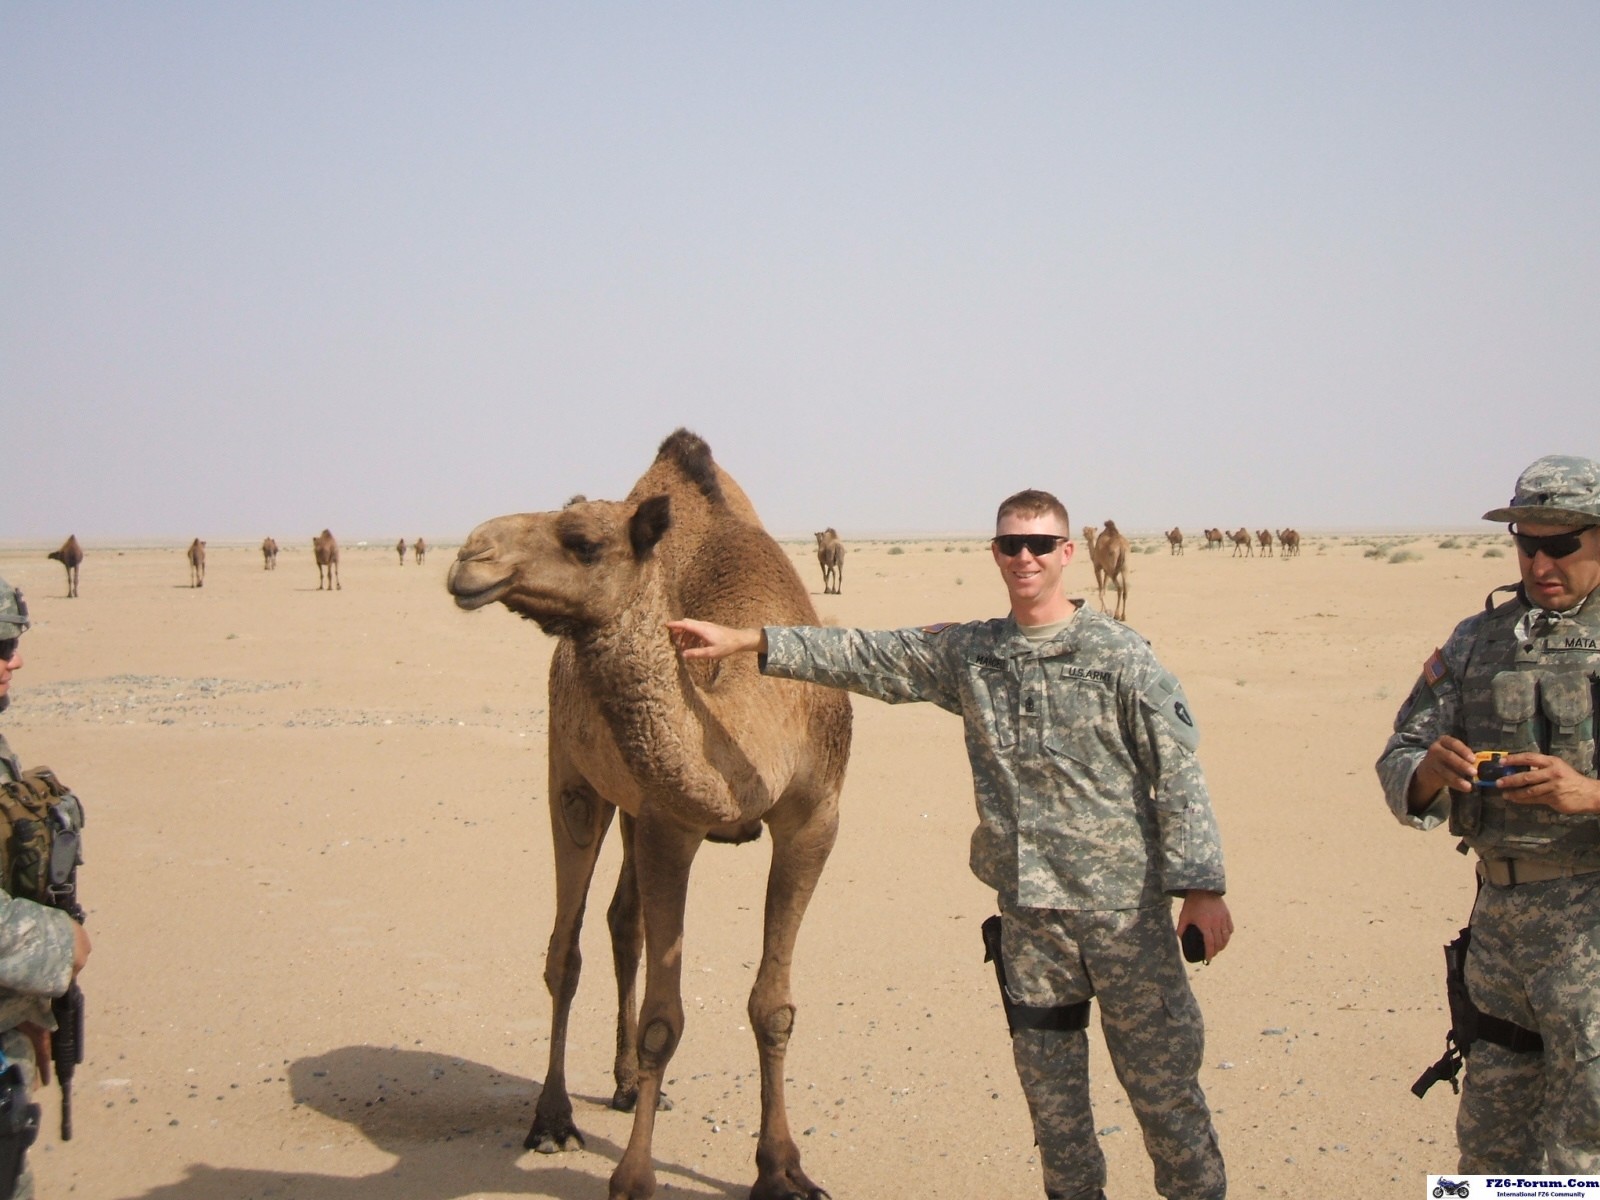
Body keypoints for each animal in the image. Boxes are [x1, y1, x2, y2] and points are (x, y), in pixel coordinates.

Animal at [447, 429, 852, 1200]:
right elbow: (664, 1021)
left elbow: (773, 1006)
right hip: (575, 779)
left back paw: (630, 1085)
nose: (469, 556)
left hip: (631, 803)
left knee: (621, 923)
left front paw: (782, 1168)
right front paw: (633, 1179)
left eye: (581, 541)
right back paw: (553, 1119)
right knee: (566, 948)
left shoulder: (813, 819)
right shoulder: (672, 824)